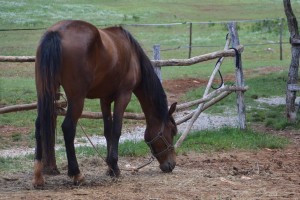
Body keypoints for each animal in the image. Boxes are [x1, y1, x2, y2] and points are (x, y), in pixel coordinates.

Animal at [32, 19, 178, 186]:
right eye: (172, 131)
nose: (171, 164)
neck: (132, 54)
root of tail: (55, 33)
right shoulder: (124, 95)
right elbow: (116, 130)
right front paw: (114, 166)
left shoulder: (105, 99)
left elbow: (108, 131)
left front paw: (110, 167)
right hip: (76, 99)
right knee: (68, 128)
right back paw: (77, 174)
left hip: (46, 93)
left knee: (39, 125)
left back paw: (38, 176)